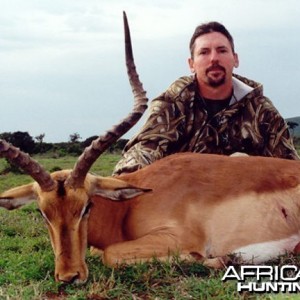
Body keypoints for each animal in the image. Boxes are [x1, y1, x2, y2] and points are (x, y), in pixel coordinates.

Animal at [0, 12, 300, 284]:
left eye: (87, 206)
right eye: (43, 212)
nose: (69, 276)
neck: (129, 207)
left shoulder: (176, 236)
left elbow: (110, 254)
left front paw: (220, 259)